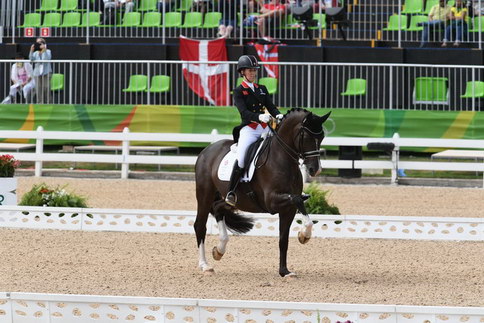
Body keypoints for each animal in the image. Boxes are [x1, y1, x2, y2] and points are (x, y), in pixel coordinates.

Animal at [195, 109, 330, 278]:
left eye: (322, 137)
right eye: (305, 137)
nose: (315, 170)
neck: (282, 159)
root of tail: (206, 150)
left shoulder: (288, 209)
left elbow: (283, 240)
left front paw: (284, 271)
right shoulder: (272, 201)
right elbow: (298, 200)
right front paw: (304, 236)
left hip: (231, 200)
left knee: (218, 209)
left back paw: (219, 250)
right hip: (204, 195)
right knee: (200, 226)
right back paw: (204, 265)